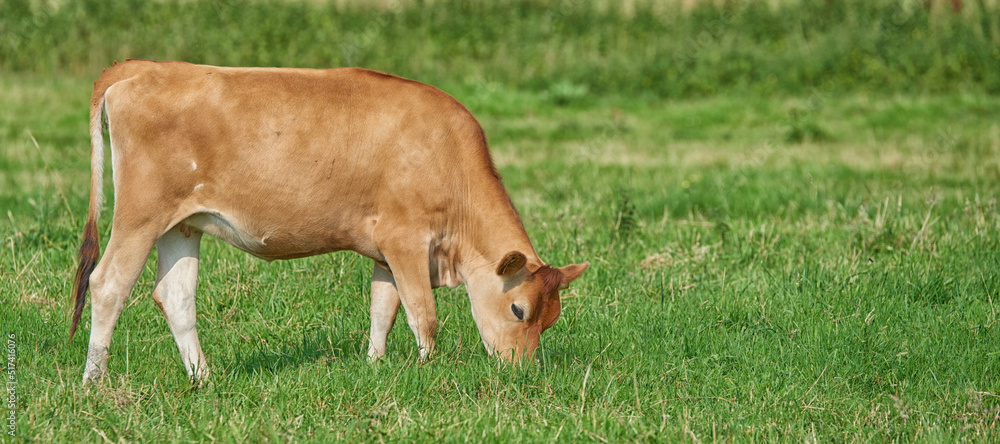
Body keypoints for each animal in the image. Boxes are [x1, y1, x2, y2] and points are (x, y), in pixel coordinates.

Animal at [72, 59, 584, 386]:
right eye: (518, 310)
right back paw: (94, 380)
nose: (519, 370)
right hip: (140, 215)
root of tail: (141, 66)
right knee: (108, 283)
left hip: (182, 223)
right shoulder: (406, 238)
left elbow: (383, 310)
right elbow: (423, 313)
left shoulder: (384, 248)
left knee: (176, 296)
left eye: (552, 319)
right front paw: (426, 372)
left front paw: (375, 367)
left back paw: (203, 378)